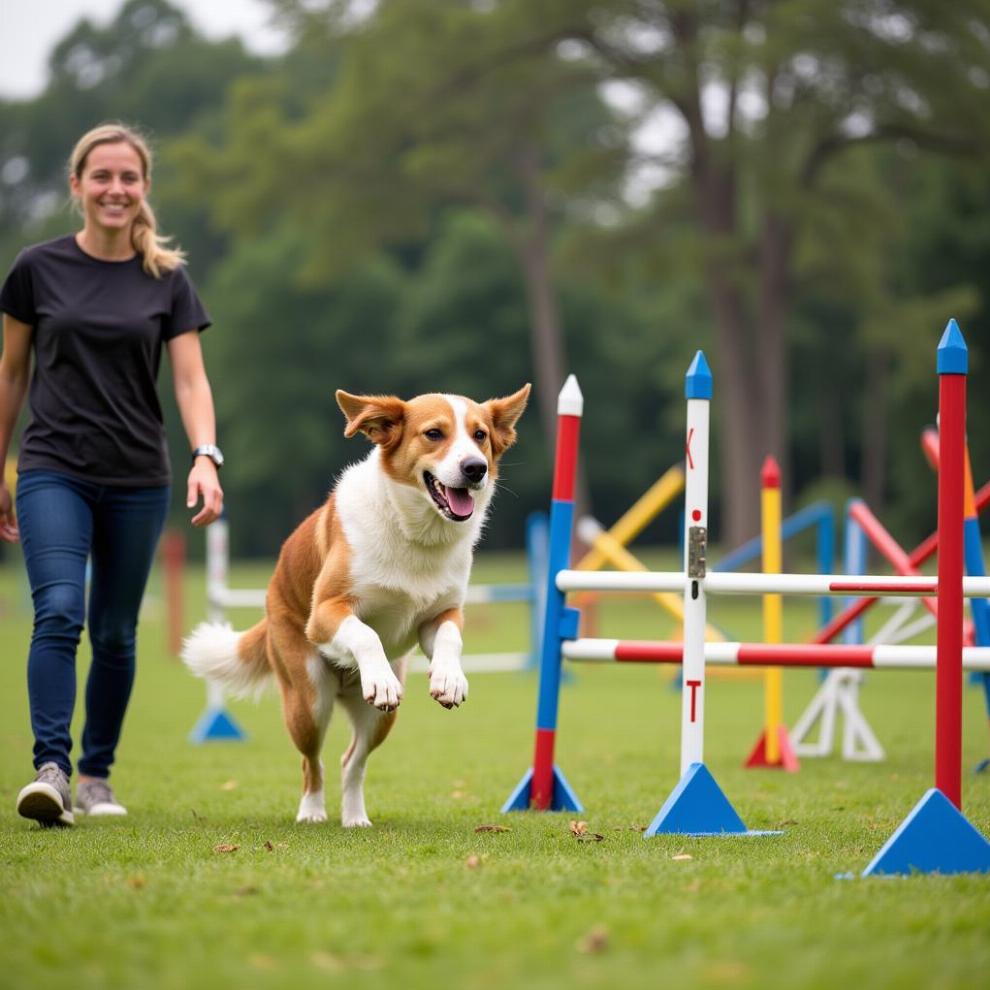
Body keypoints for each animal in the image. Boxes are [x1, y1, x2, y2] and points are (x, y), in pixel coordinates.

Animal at [182, 384, 532, 824]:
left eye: (480, 435)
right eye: (434, 434)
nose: (475, 468)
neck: (416, 535)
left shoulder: (440, 615)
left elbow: (450, 639)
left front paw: (449, 679)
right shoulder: (326, 613)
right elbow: (366, 634)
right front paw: (379, 678)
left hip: (381, 719)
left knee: (353, 761)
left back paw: (354, 818)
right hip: (308, 701)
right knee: (312, 762)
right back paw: (312, 811)